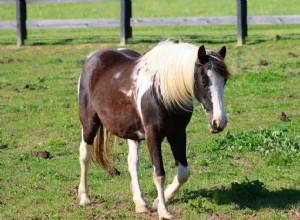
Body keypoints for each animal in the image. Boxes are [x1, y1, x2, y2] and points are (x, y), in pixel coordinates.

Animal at [77, 40, 230, 218]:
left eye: (224, 81)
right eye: (204, 81)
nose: (219, 122)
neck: (162, 92)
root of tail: (93, 58)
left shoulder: (178, 133)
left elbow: (184, 172)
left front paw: (158, 202)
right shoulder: (153, 135)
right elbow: (159, 174)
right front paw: (163, 211)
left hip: (132, 133)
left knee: (132, 162)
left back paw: (140, 203)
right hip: (89, 123)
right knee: (85, 155)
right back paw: (84, 197)